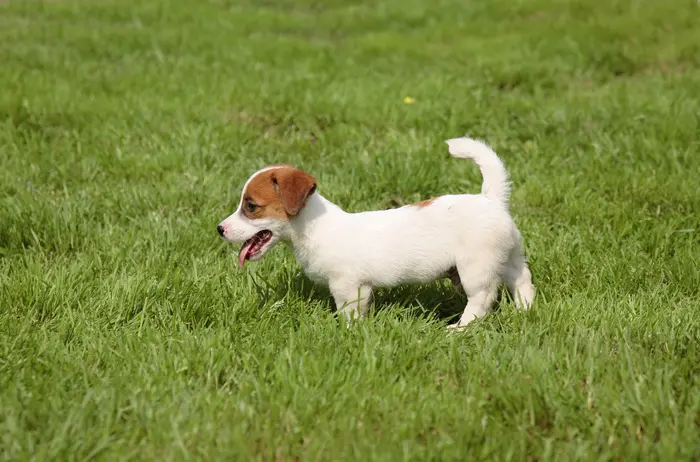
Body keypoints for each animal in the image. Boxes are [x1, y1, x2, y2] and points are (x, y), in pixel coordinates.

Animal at [219, 137, 536, 328]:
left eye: (250, 206)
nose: (219, 229)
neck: (315, 228)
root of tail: (491, 199)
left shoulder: (348, 287)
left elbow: (349, 315)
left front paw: (346, 333)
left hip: (475, 268)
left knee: (482, 299)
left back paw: (459, 329)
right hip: (508, 257)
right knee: (522, 279)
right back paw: (525, 310)